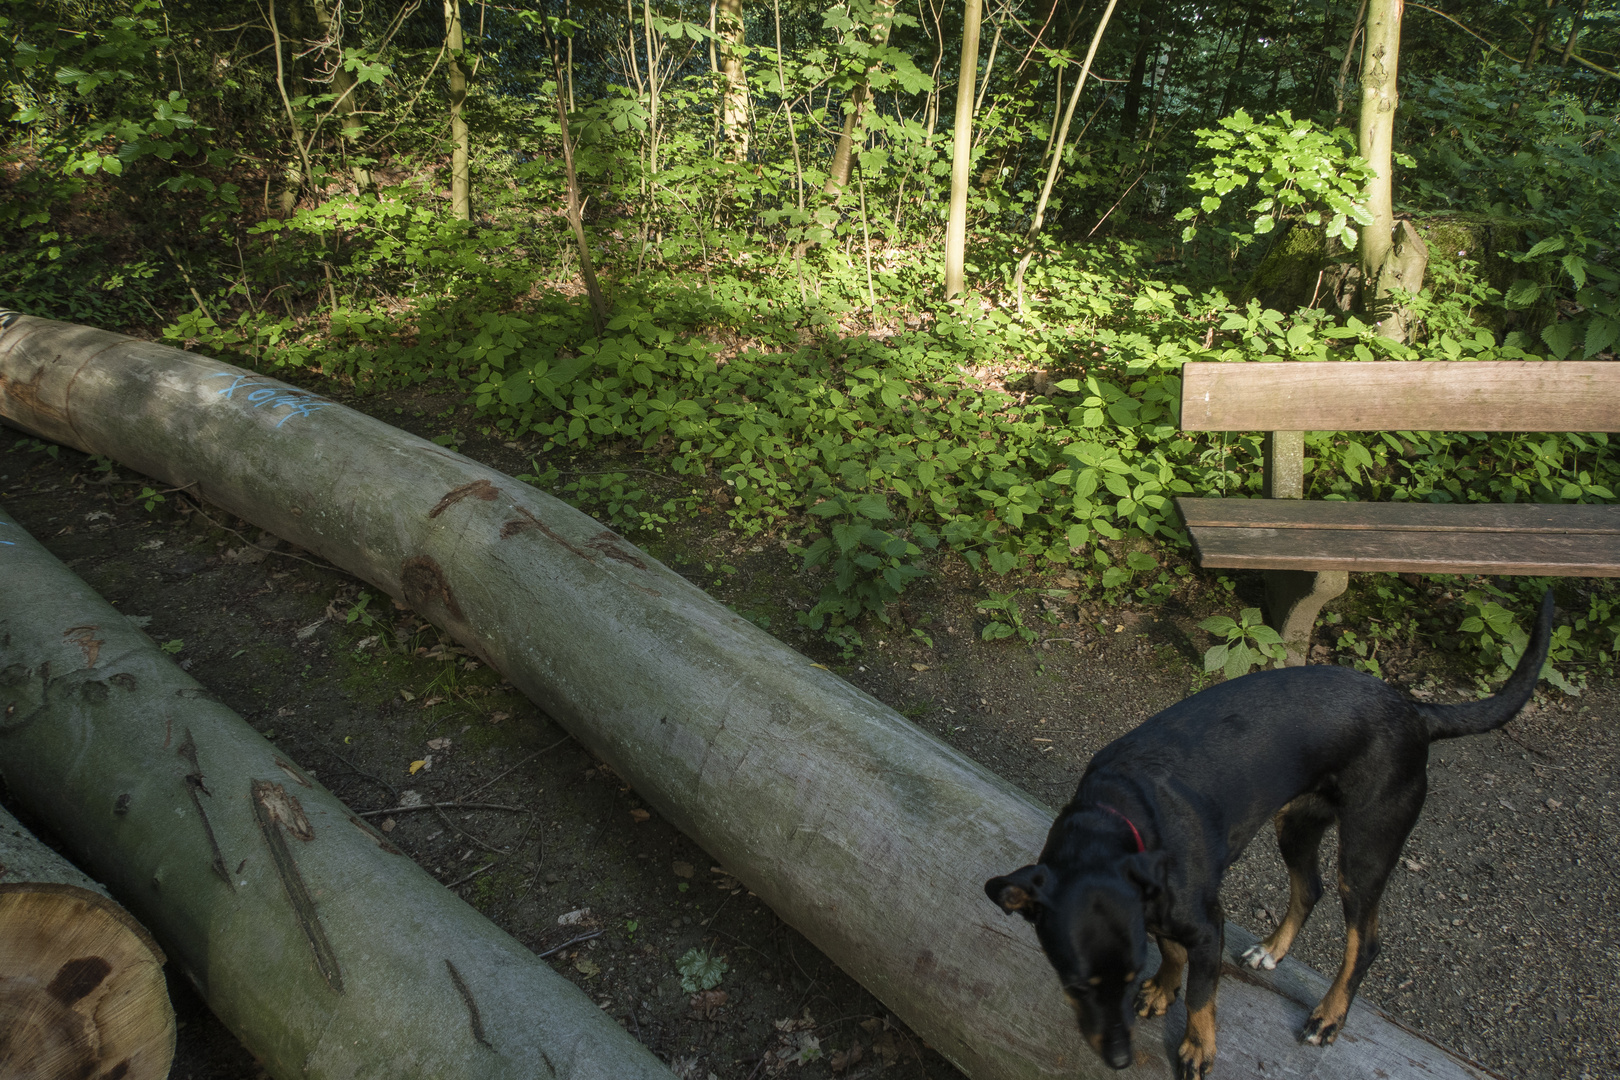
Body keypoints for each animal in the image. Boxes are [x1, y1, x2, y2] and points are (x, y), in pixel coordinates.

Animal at [984, 592, 1555, 1080]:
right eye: (1075, 985)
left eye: (1125, 976)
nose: (1121, 1059)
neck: (1117, 812)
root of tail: (1415, 709)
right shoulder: (1156, 909)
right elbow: (1172, 953)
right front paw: (1164, 989)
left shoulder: (1206, 924)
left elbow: (1201, 995)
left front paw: (1197, 1048)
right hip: (1295, 824)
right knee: (1309, 888)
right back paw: (1272, 952)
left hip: (1366, 850)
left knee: (1364, 941)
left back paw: (1329, 1015)